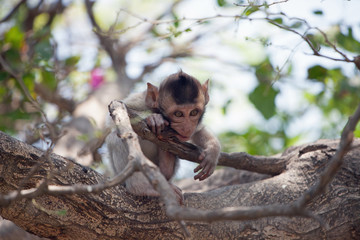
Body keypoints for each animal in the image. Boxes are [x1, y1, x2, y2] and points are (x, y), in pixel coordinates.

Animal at [105, 71, 221, 202]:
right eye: (178, 114)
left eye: (193, 112)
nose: (187, 127)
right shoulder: (140, 100)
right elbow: (113, 116)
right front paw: (154, 118)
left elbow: (198, 131)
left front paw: (212, 151)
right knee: (115, 138)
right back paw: (141, 186)